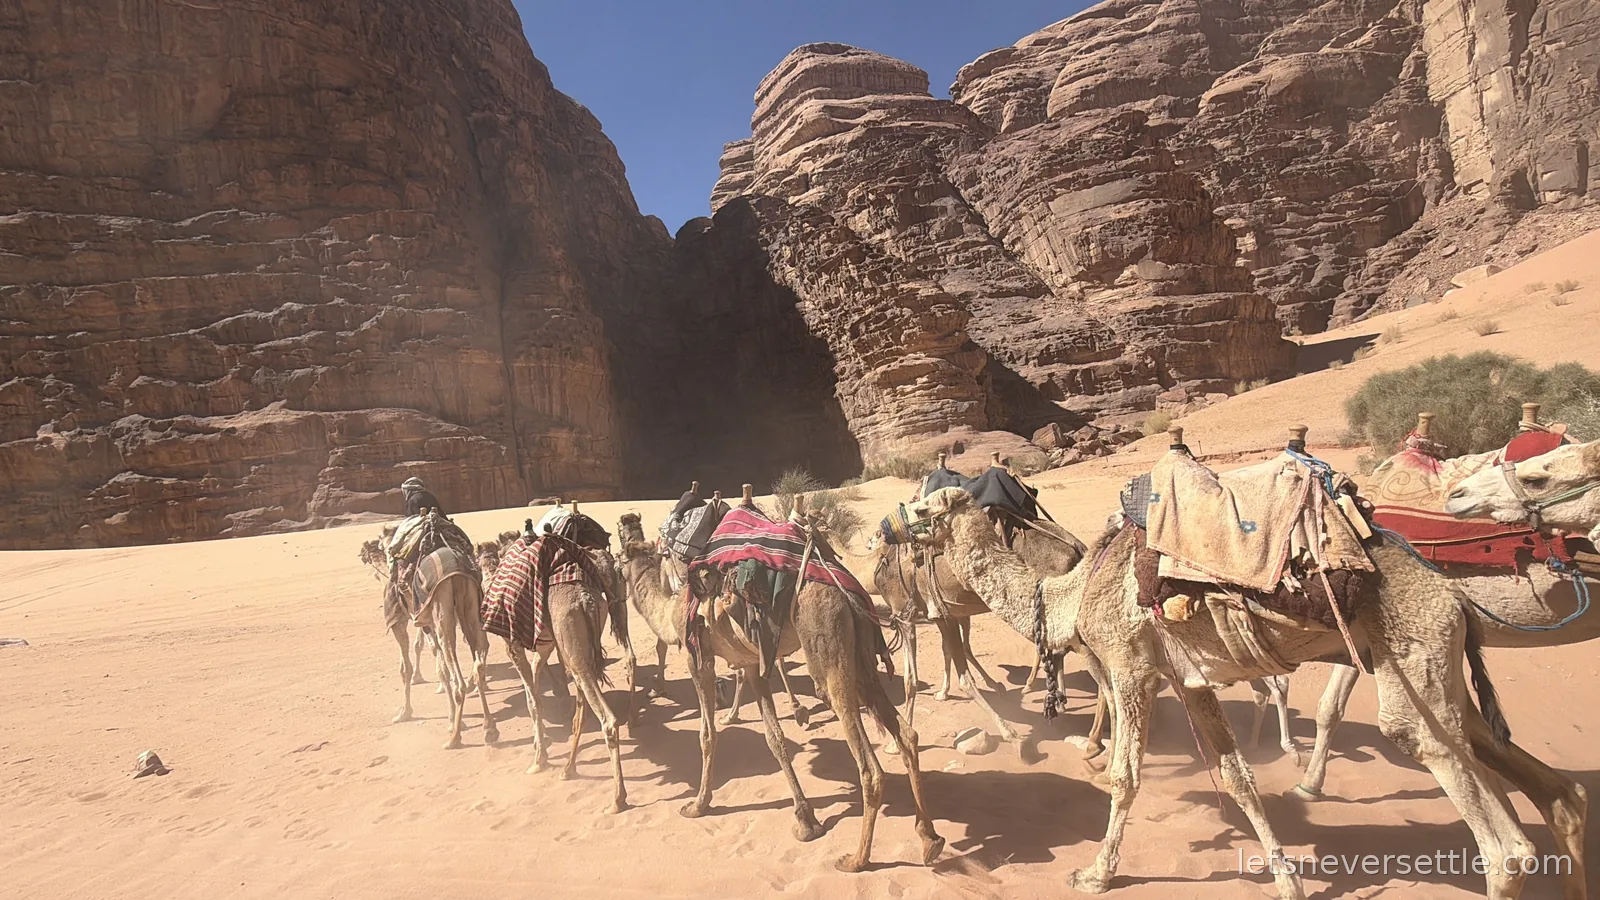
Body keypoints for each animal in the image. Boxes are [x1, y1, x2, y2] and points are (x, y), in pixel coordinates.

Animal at [614, 493, 944, 873]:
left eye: (621, 553)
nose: (625, 521)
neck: (670, 610)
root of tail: (847, 591)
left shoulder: (699, 659)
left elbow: (707, 736)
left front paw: (698, 804)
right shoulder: (753, 665)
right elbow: (775, 738)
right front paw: (806, 820)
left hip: (827, 652)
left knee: (869, 768)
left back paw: (857, 859)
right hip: (862, 658)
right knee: (906, 734)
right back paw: (929, 839)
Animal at [902, 438, 1575, 900]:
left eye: (925, 510)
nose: (895, 527)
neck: (1071, 592)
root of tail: (1454, 597)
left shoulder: (1129, 668)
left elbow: (1125, 776)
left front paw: (1095, 872)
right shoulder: (1190, 681)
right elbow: (1238, 777)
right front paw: (1288, 880)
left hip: (1412, 668)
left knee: (1504, 845)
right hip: (1441, 674)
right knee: (1544, 786)